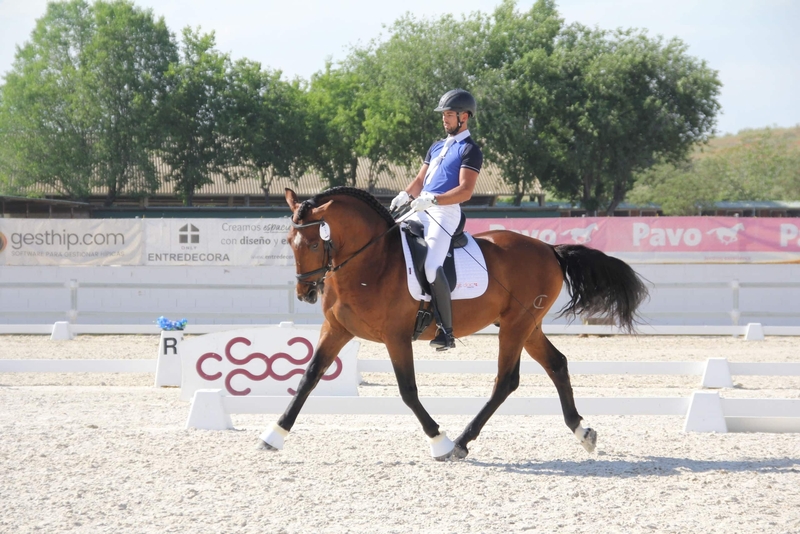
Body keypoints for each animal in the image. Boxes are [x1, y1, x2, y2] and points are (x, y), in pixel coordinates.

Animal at [258, 186, 649, 460]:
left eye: (313, 243)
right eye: (289, 241)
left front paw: (439, 441)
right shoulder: (336, 330)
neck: (370, 261)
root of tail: (549, 249)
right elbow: (308, 378)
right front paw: (274, 435)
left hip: (516, 326)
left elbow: (408, 391)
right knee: (556, 364)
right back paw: (582, 432)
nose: (305, 292)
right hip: (526, 325)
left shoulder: (396, 337)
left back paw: (461, 441)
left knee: (506, 381)